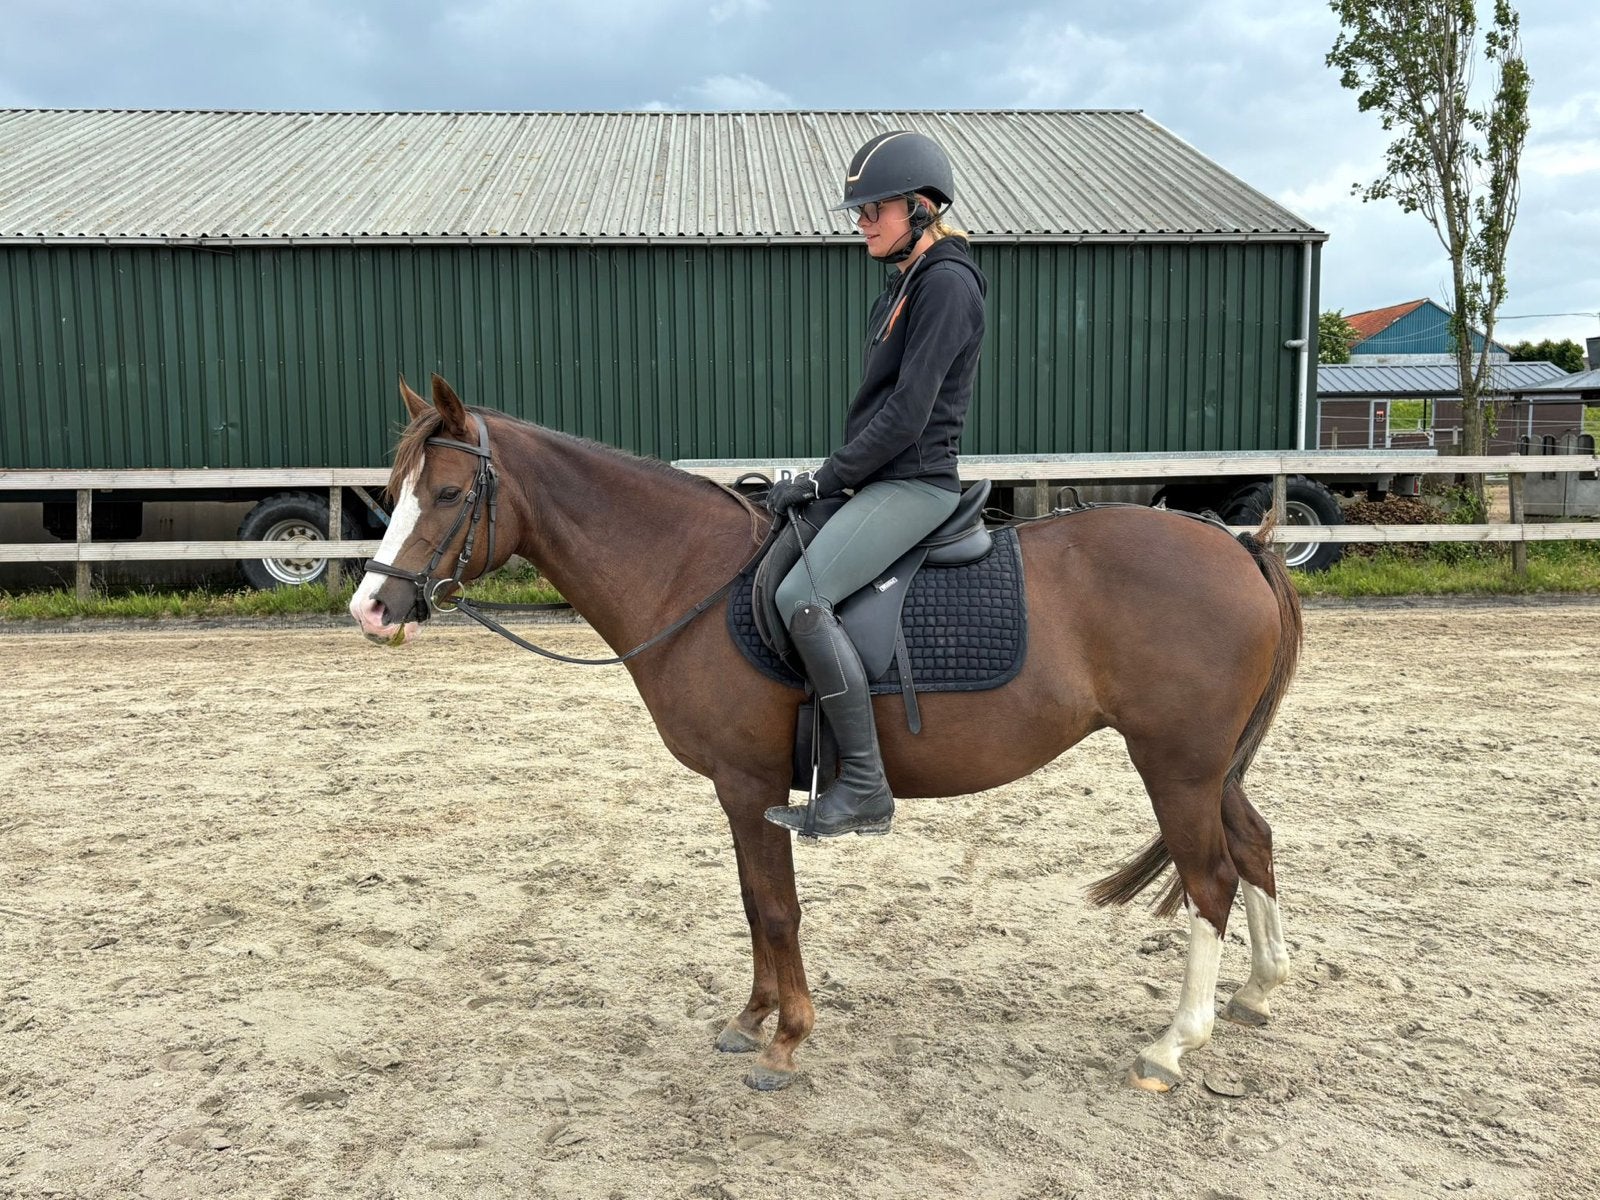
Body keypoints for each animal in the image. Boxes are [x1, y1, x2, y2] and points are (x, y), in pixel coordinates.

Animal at [349, 374, 1303, 1094]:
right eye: (392, 496)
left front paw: (787, 1042)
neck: (689, 574)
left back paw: (1173, 1044)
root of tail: (1235, 544)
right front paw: (750, 1020)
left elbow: (777, 907)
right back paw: (1260, 992)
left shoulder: (748, 781)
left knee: (1212, 878)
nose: (371, 609)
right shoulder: (743, 791)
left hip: (1175, 764)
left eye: (446, 494)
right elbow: (752, 902)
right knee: (1254, 844)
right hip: (1208, 766)